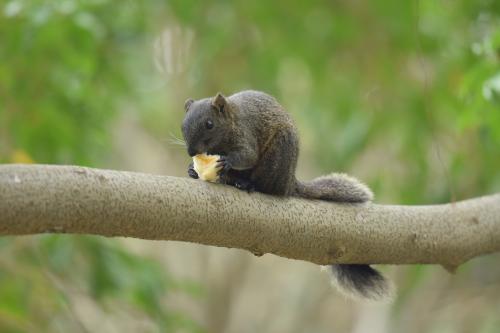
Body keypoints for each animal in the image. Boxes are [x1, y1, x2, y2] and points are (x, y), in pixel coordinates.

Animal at [182, 89, 392, 300]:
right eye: (183, 125)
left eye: (210, 124)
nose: (191, 151)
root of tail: (289, 182)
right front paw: (192, 169)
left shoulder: (245, 135)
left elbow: (247, 156)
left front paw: (225, 162)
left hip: (277, 155)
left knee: (267, 186)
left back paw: (247, 184)